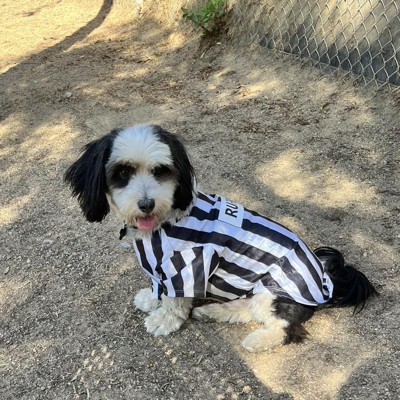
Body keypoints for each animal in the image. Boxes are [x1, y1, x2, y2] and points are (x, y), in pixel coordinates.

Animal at [65, 123, 378, 352]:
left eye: (160, 171)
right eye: (123, 172)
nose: (146, 204)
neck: (164, 221)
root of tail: (326, 278)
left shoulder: (190, 263)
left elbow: (175, 299)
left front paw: (163, 319)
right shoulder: (159, 266)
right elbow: (159, 288)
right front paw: (151, 299)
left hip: (274, 292)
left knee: (287, 328)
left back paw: (256, 340)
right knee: (247, 310)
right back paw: (214, 311)